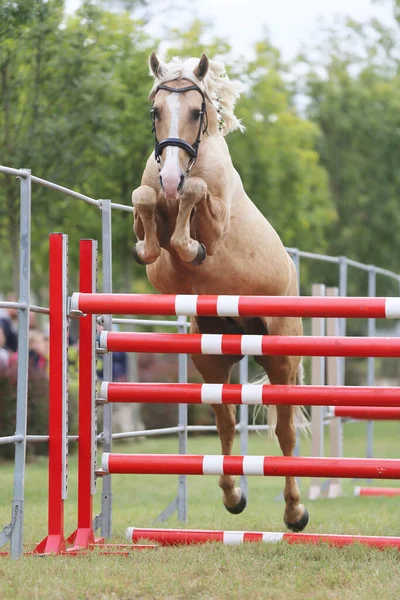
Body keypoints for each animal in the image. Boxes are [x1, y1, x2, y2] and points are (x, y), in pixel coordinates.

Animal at [131, 51, 310, 528]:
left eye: (197, 112)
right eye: (155, 111)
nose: (170, 177)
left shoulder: (213, 222)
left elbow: (193, 204)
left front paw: (190, 242)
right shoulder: (155, 234)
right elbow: (144, 201)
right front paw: (148, 241)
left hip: (281, 354)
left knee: (285, 430)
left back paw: (295, 512)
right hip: (209, 354)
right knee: (226, 421)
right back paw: (234, 496)